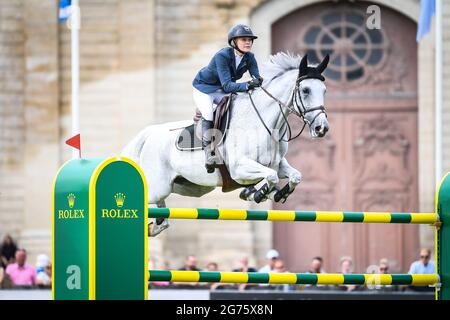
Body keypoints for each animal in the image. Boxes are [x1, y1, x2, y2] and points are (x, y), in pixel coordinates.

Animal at [121, 52, 328, 236]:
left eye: (324, 91)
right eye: (306, 90)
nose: (322, 128)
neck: (266, 123)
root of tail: (150, 133)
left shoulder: (277, 164)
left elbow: (294, 176)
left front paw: (274, 194)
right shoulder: (239, 168)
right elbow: (271, 177)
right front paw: (259, 194)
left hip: (184, 187)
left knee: (163, 218)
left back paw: (154, 227)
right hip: (159, 186)